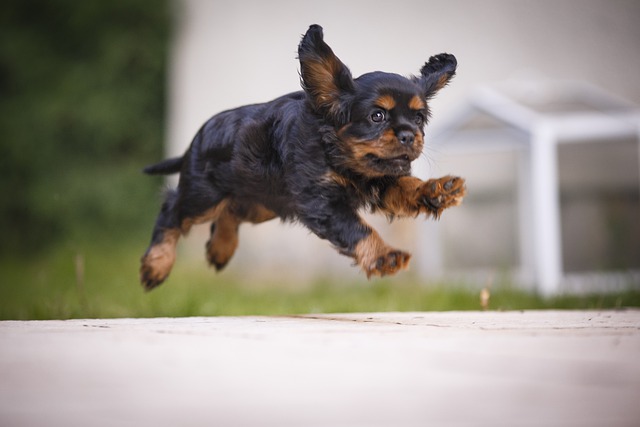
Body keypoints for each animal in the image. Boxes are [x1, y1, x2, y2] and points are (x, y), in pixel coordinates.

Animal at [140, 23, 464, 290]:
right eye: (377, 116)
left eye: (419, 118)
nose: (409, 135)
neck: (339, 153)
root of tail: (196, 138)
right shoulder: (321, 201)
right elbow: (356, 228)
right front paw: (384, 255)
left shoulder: (383, 178)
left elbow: (406, 187)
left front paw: (436, 190)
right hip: (205, 194)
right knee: (173, 210)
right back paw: (157, 265)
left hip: (261, 200)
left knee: (231, 211)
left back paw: (221, 248)